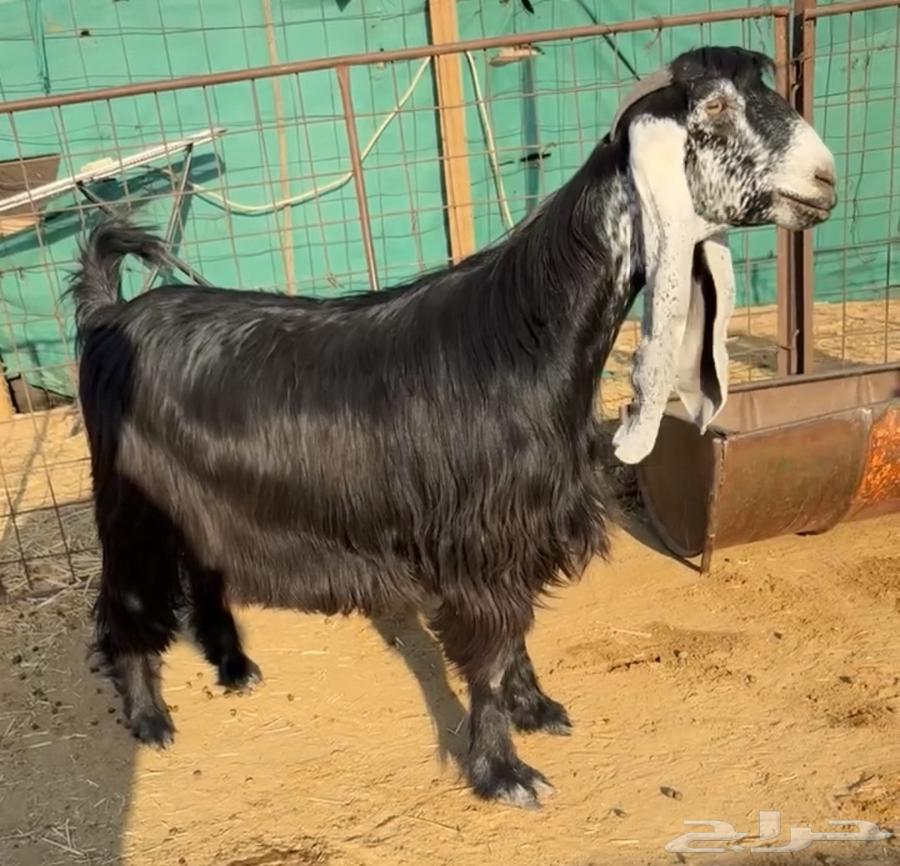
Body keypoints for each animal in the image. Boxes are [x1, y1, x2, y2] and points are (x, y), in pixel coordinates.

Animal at [71, 46, 836, 809]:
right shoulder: (480, 544)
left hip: (199, 502)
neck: (527, 337)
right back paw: (150, 717)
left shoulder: (520, 533)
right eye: (714, 107)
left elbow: (518, 635)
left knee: (204, 571)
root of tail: (109, 315)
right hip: (131, 506)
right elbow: (489, 657)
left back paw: (234, 665)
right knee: (123, 601)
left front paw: (537, 710)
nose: (825, 179)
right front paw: (504, 772)